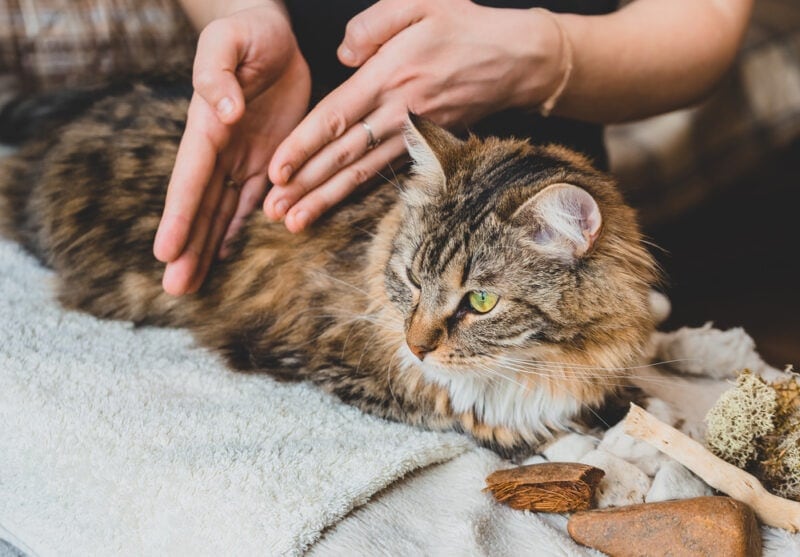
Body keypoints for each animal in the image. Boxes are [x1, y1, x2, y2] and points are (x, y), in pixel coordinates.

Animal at [0, 83, 656, 456]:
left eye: (481, 302)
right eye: (412, 279)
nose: (417, 346)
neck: (540, 367)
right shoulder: (318, 358)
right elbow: (472, 418)